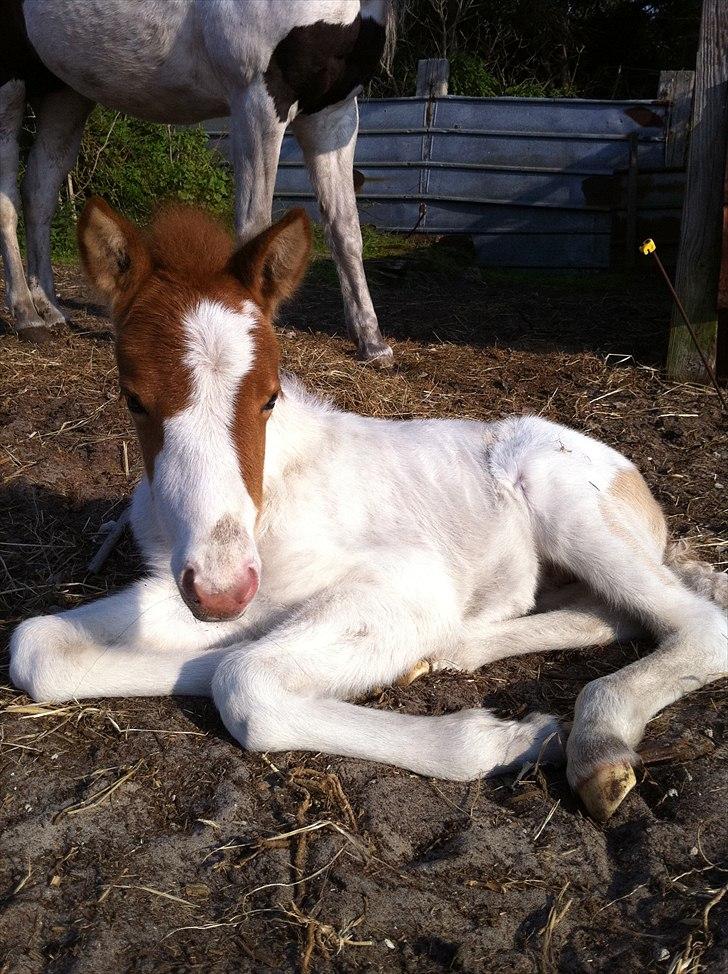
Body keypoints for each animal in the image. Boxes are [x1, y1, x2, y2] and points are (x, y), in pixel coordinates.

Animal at [0, 0, 396, 364]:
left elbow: (345, 230)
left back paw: (50, 309)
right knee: (8, 203)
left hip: (63, 93)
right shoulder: (259, 102)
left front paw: (373, 344)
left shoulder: (332, 114)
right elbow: (255, 226)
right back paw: (26, 317)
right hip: (8, 86)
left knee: (38, 192)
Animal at [7, 200, 728, 824]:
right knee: (604, 612)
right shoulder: (196, 585)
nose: (222, 590)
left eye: (269, 396)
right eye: (134, 399)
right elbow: (37, 645)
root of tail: (641, 490)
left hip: (565, 500)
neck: (269, 501)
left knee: (696, 623)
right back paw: (447, 653)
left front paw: (507, 738)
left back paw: (597, 743)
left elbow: (244, 681)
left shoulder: (408, 582)